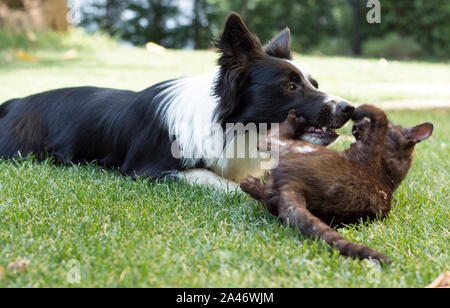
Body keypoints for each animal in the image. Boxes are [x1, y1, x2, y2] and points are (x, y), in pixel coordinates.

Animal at [0, 12, 354, 189]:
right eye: (290, 86)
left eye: (314, 84)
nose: (349, 108)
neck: (230, 126)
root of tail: (14, 102)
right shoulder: (147, 169)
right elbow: (218, 179)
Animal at [241, 104, 434, 264]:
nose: (356, 125)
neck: (389, 171)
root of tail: (293, 186)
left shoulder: (374, 138)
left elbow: (379, 115)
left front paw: (359, 111)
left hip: (290, 147)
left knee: (266, 142)